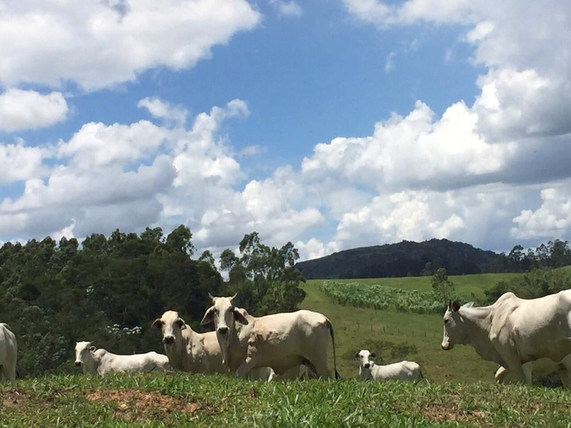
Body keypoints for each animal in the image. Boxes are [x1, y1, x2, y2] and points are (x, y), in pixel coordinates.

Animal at [200, 294, 340, 378]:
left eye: (230, 309)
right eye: (215, 310)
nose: (223, 329)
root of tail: (324, 319)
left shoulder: (251, 359)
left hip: (319, 361)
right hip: (311, 363)